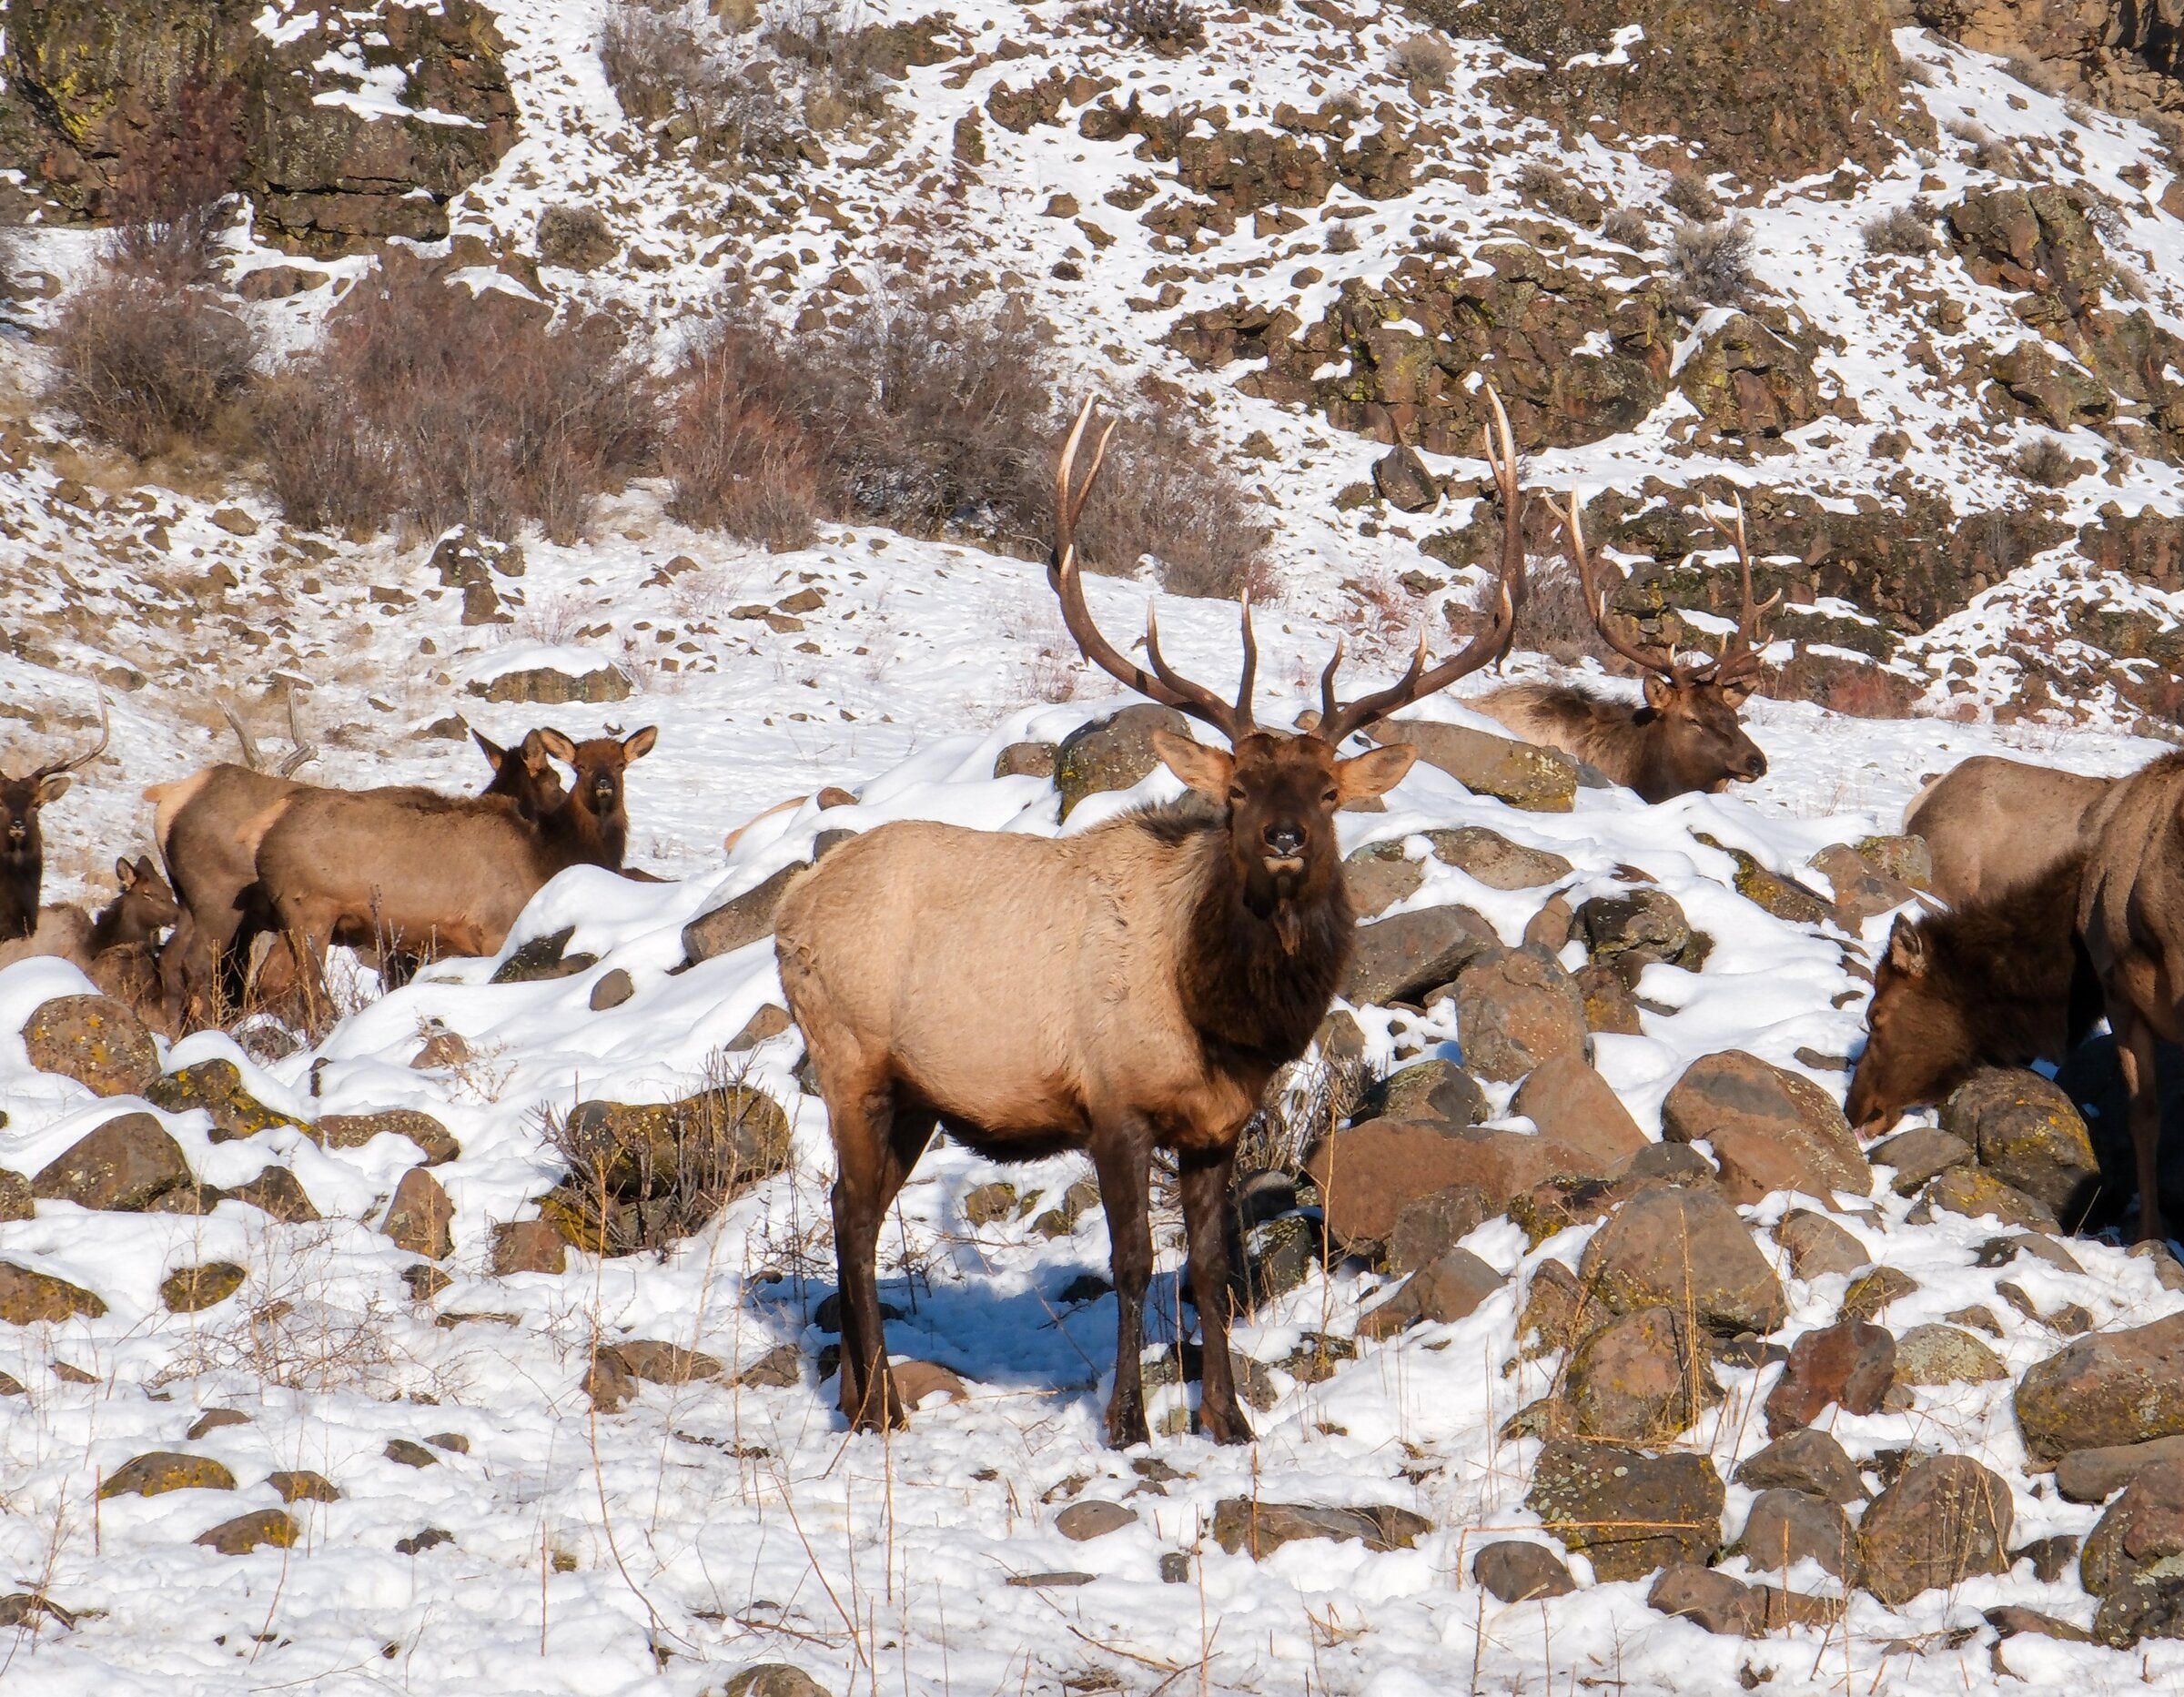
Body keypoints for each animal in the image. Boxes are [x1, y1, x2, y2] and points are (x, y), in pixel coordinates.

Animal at [251, 726, 655, 1023]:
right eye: (573, 770)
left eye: (621, 764)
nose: (604, 785)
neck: (549, 855)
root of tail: (267, 827)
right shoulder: (494, 929)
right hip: (313, 912)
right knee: (303, 988)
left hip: (290, 920)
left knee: (270, 984)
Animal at [774, 393, 1526, 1446]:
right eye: (1240, 786)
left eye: (1329, 790)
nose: (1286, 837)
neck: (1217, 1017)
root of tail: (789, 907)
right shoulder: (1111, 1098)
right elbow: (1132, 1261)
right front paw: (1128, 1419)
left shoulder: (1217, 1124)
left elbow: (1208, 1266)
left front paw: (1229, 1418)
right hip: (849, 1054)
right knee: (849, 1212)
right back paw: (877, 1404)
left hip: (917, 1090)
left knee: (865, 1206)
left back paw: (858, 1394)